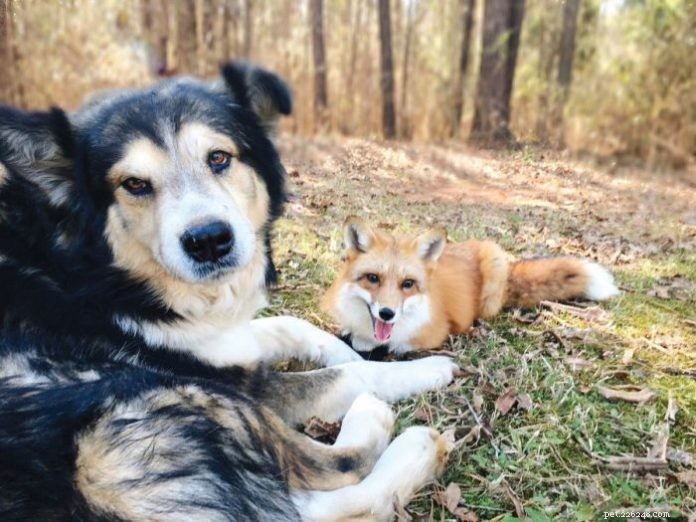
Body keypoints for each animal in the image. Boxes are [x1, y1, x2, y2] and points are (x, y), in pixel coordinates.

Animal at [322, 217, 620, 355]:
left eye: (408, 284)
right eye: (373, 278)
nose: (387, 313)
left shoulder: (433, 334)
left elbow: (400, 344)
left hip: (494, 266)